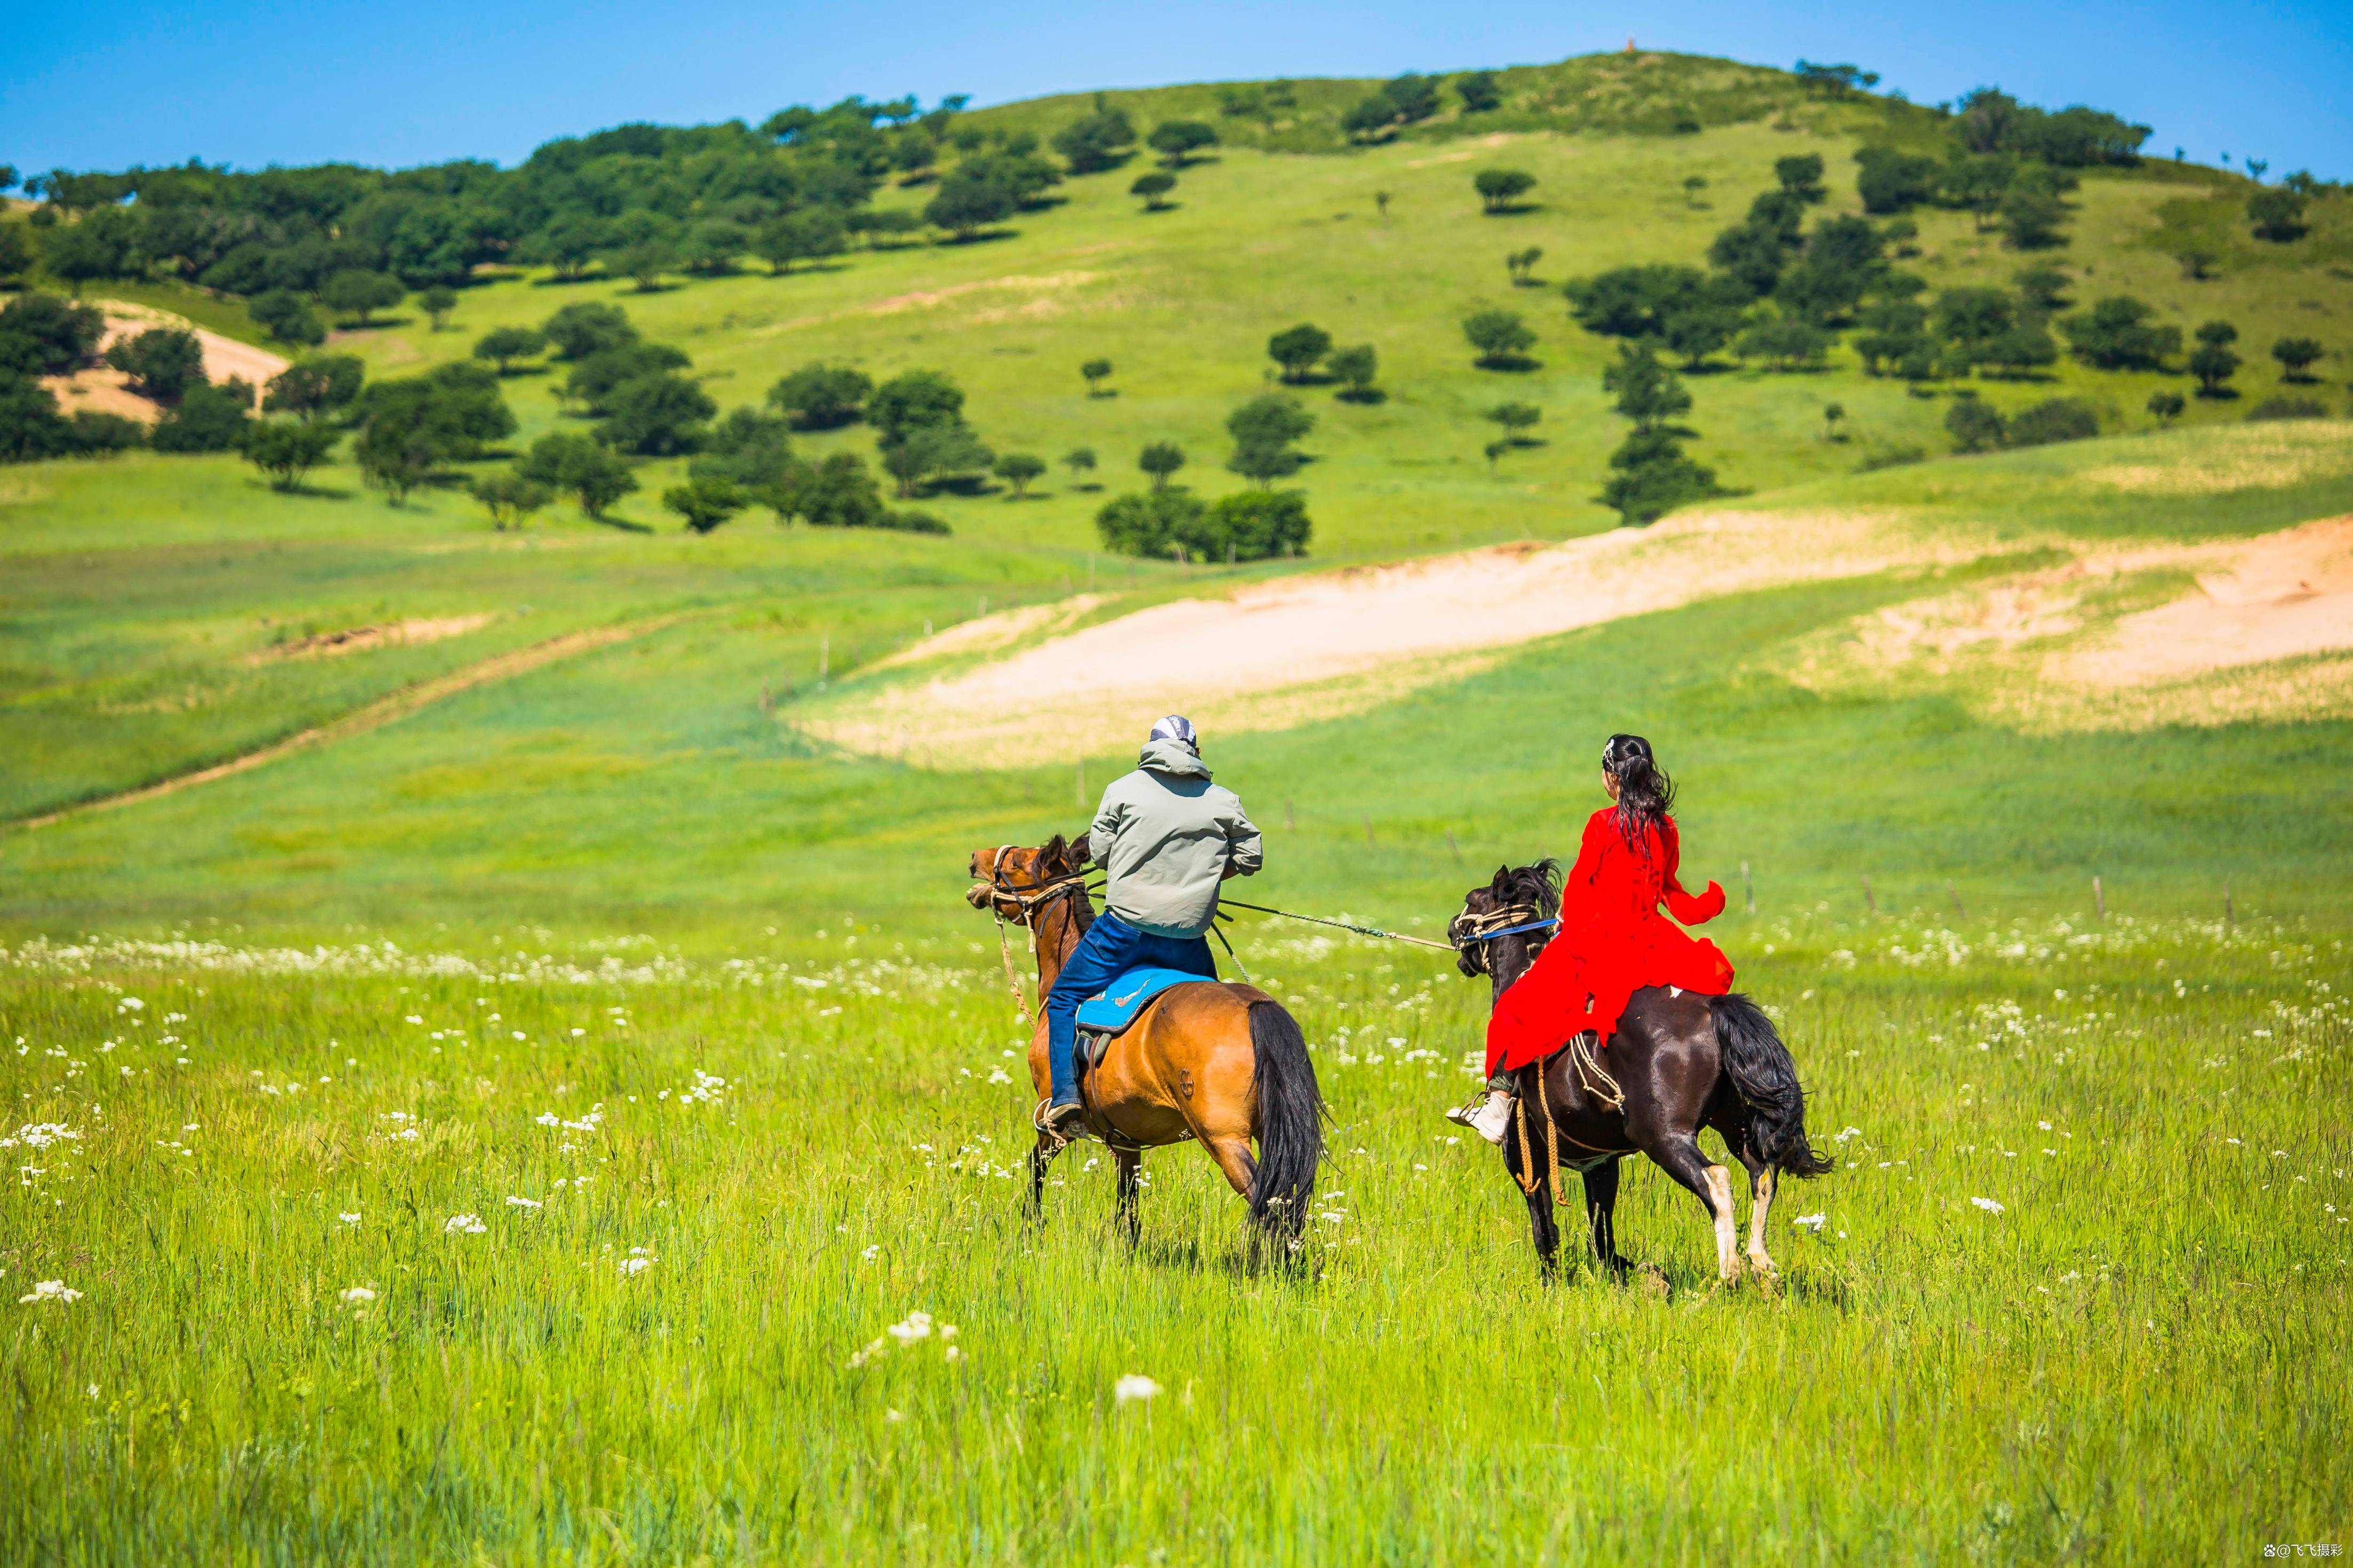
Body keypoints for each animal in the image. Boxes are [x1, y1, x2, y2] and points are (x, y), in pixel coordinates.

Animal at [960, 841, 1327, 1241]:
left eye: (1015, 861)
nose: (976, 858)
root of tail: (1255, 1006)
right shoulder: (1125, 1140)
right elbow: (1128, 1207)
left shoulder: (1056, 1126)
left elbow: (1035, 1170)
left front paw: (1029, 1228)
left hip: (1225, 1140)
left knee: (1270, 1205)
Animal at [1440, 860, 1826, 1288]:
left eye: (1472, 899)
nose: (1452, 929)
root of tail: (1713, 1009)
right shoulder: (1601, 1163)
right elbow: (1601, 1233)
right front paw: (1633, 1273)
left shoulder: (1525, 1158)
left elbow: (1546, 1232)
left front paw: (1553, 1284)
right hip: (1734, 1123)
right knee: (1762, 1172)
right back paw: (1761, 1263)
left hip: (1662, 1135)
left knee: (1717, 1179)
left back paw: (1729, 1273)